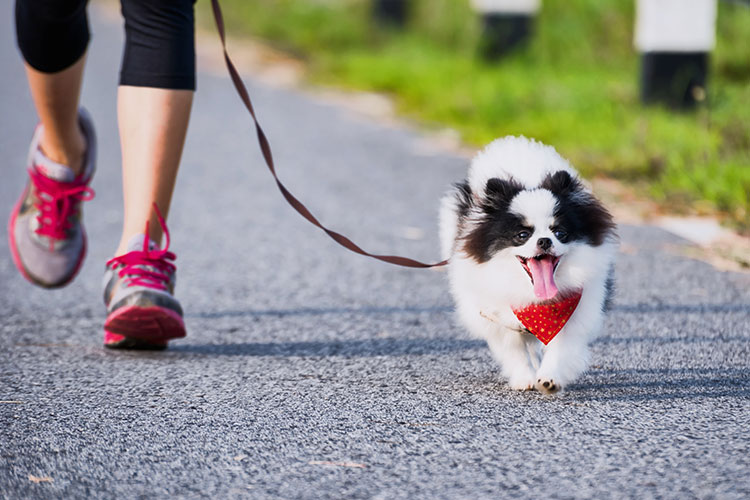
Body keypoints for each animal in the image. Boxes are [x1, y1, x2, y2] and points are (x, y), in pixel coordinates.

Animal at [438, 137, 620, 394]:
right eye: (522, 235)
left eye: (559, 233)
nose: (544, 240)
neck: (535, 297)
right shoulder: (498, 317)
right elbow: (515, 352)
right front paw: (525, 378)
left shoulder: (576, 314)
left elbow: (561, 348)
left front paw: (549, 378)